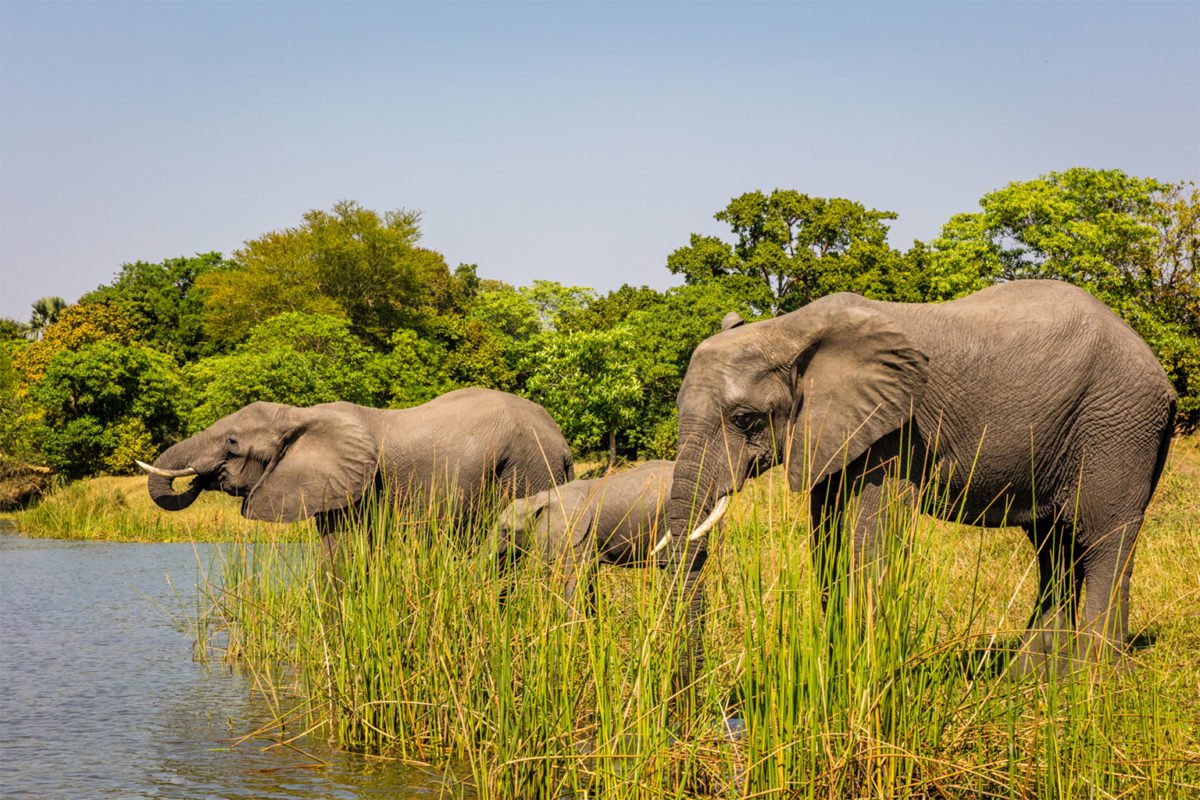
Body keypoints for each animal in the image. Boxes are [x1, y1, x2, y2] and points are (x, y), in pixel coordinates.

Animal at [138, 388, 573, 556]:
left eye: (231, 442)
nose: (203, 476)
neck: (299, 414)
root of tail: (563, 443)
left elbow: (339, 555)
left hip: (526, 467)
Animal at [657, 278, 1171, 686]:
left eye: (744, 419)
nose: (698, 695)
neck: (790, 329)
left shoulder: (895, 431)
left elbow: (870, 535)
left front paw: (864, 679)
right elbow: (827, 539)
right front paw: (837, 670)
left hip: (1118, 426)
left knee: (1103, 538)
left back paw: (1090, 681)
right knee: (1055, 548)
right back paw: (1031, 678)